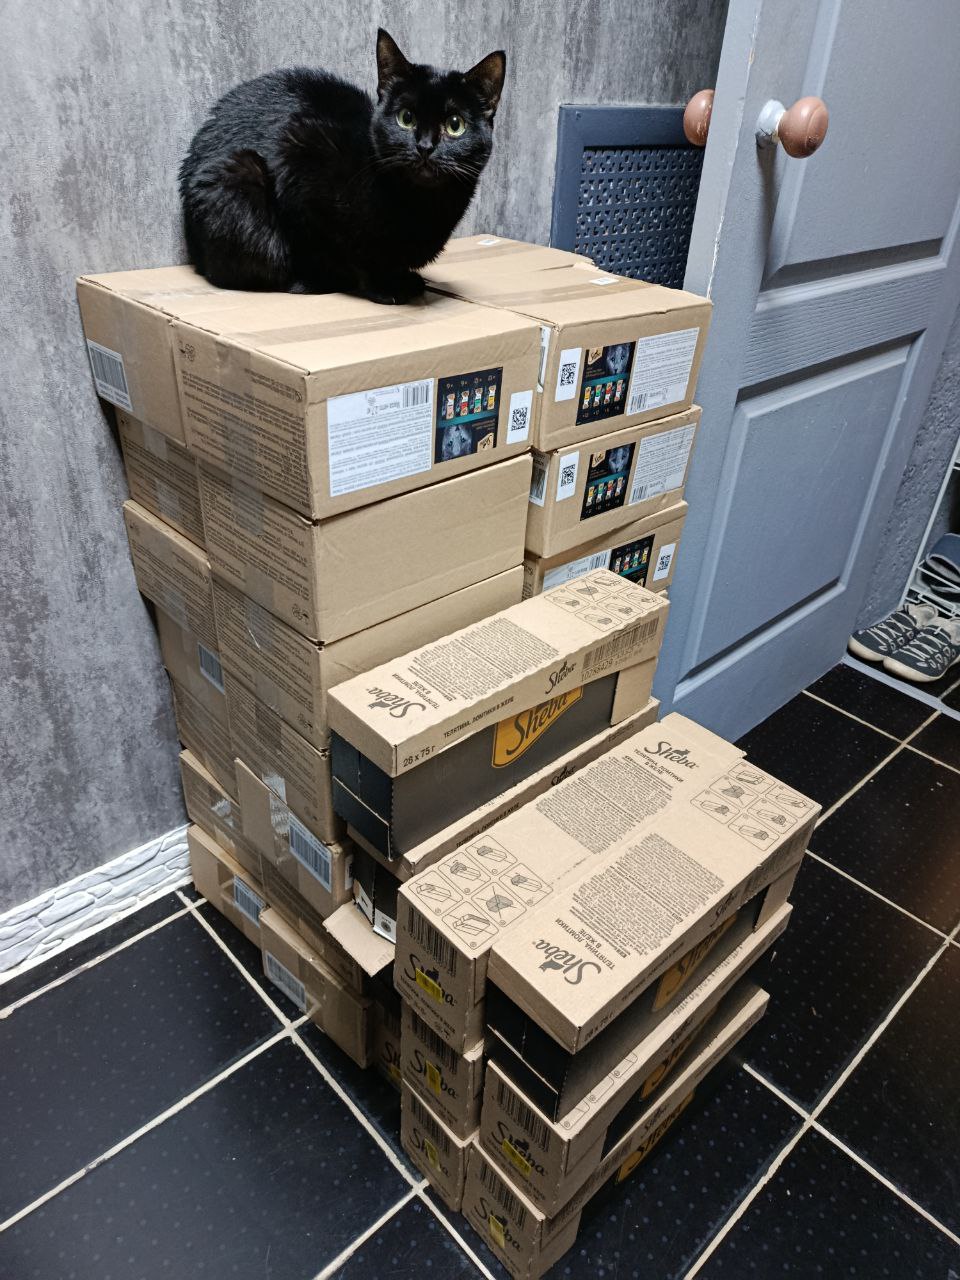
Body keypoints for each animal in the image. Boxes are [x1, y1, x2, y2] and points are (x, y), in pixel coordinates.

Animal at [178, 31, 505, 304]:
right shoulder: (296, 152)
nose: (425, 146)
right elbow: (341, 250)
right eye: (406, 118)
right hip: (239, 174)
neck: (421, 204)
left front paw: (400, 277)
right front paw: (381, 285)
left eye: (455, 125)